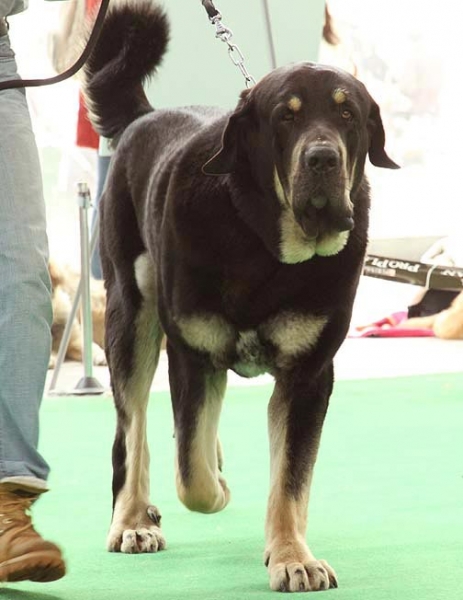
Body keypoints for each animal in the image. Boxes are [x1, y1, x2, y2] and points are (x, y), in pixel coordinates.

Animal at [84, 0, 398, 592]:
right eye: (285, 117)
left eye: (348, 115)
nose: (322, 158)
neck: (264, 242)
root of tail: (143, 118)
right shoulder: (193, 354)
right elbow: (192, 474)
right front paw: (216, 486)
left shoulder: (308, 376)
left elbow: (290, 480)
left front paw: (292, 556)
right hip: (129, 317)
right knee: (132, 432)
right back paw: (133, 519)